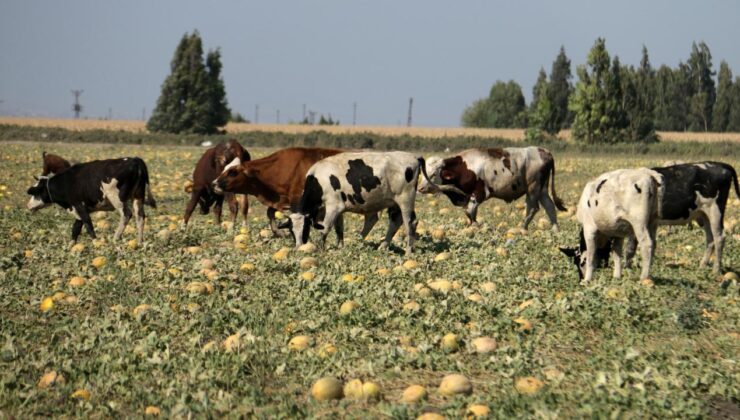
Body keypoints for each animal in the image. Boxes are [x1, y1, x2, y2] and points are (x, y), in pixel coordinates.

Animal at [26, 158, 157, 243]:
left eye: (35, 192)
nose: (28, 205)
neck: (67, 182)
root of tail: (135, 160)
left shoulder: (80, 207)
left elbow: (89, 227)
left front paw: (96, 244)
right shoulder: (77, 211)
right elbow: (75, 229)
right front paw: (71, 247)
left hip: (117, 198)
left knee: (126, 214)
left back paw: (115, 238)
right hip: (138, 197)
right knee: (140, 217)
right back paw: (140, 242)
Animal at [211, 146, 378, 236]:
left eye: (232, 172)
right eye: (225, 168)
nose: (214, 184)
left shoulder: (297, 199)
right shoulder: (283, 199)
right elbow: (270, 213)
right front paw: (278, 231)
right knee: (372, 218)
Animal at [278, 152, 456, 254]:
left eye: (305, 228)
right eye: (292, 232)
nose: (298, 247)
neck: (318, 180)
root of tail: (414, 157)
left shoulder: (334, 206)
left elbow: (326, 228)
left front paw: (322, 249)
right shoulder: (339, 209)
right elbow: (339, 229)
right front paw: (339, 247)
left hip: (405, 199)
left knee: (410, 223)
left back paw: (408, 252)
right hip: (394, 203)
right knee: (395, 222)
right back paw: (383, 247)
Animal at [416, 147, 568, 233]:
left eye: (434, 174)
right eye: (423, 172)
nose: (421, 188)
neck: (465, 168)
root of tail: (545, 152)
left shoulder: (479, 194)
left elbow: (469, 212)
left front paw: (477, 227)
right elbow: (471, 214)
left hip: (533, 187)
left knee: (533, 208)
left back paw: (522, 229)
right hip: (542, 188)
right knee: (549, 206)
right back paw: (555, 231)